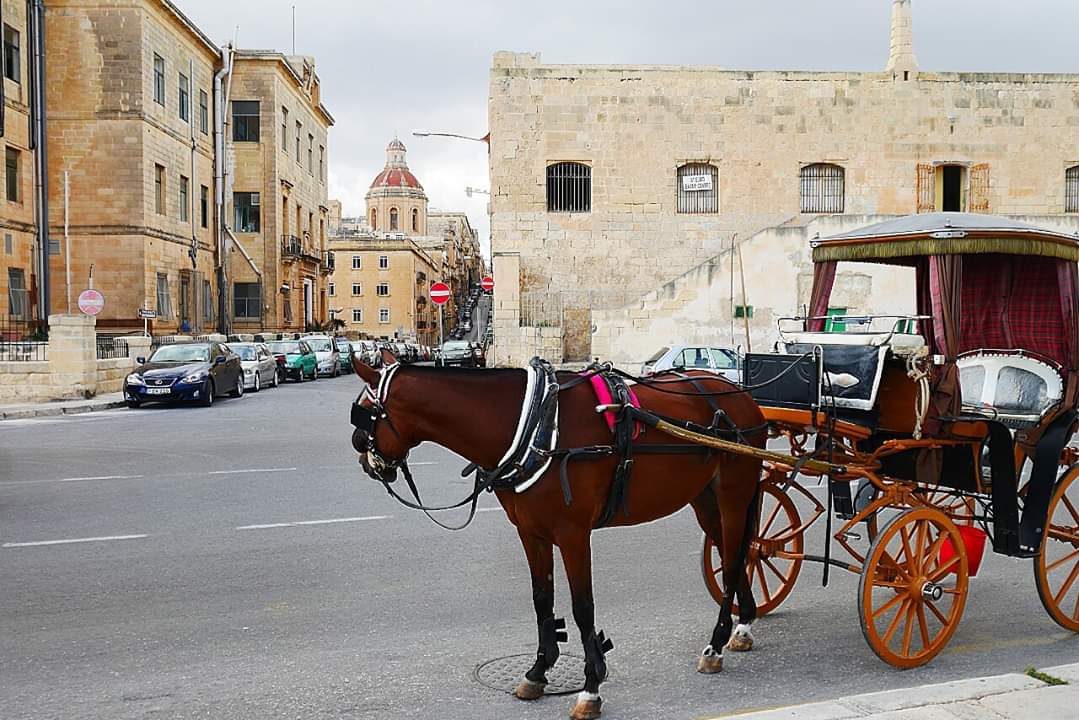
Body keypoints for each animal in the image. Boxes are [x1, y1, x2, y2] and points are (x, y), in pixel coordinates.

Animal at [349, 351, 763, 716]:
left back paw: (717, 643)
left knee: (733, 559)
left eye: (364, 415)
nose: (362, 458)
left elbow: (583, 608)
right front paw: (537, 672)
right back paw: (741, 624)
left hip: (733, 495)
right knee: (731, 552)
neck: (537, 425)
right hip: (704, 500)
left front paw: (591, 687)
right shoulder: (531, 532)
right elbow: (541, 599)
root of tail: (742, 395)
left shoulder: (573, 534)